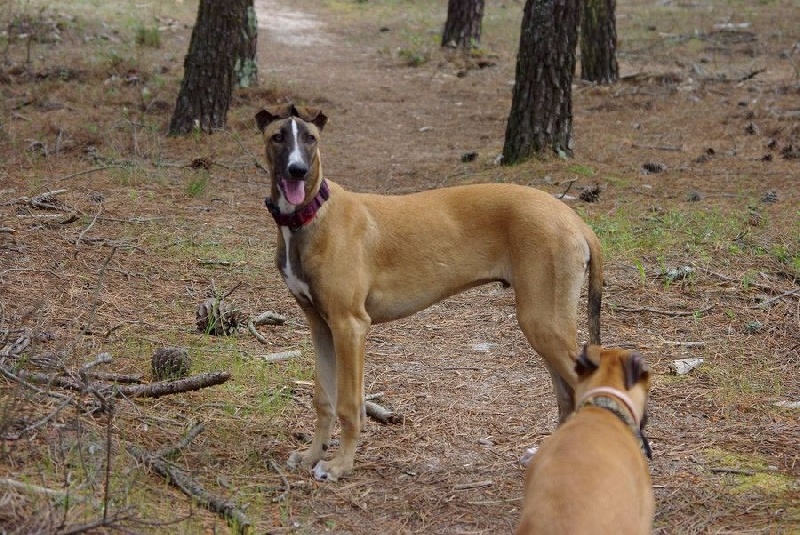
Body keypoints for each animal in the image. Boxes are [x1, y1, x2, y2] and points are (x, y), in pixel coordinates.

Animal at [253, 103, 604, 482]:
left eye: (310, 138)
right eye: (277, 137)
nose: (297, 170)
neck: (312, 213)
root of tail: (574, 219)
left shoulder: (350, 325)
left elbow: (349, 405)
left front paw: (340, 465)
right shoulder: (320, 325)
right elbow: (324, 399)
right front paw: (311, 456)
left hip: (542, 320)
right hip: (546, 325)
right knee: (566, 396)